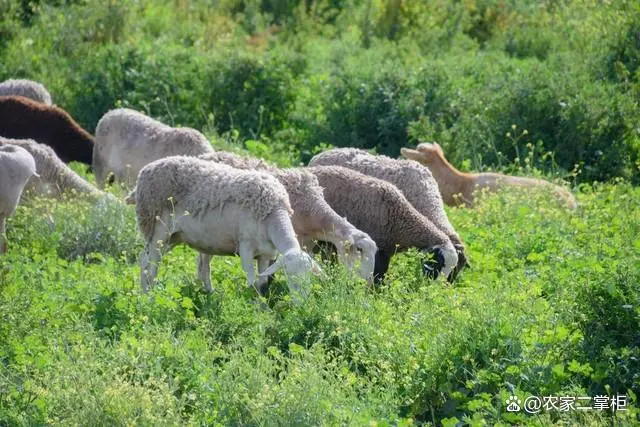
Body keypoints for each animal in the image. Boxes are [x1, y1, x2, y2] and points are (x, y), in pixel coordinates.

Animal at [127, 156, 322, 300]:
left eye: (309, 278)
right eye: (291, 277)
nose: (303, 304)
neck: (273, 214)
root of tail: (144, 172)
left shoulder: (265, 254)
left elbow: (263, 283)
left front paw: (263, 308)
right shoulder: (246, 247)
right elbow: (253, 283)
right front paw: (257, 308)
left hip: (174, 236)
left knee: (146, 260)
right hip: (156, 227)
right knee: (150, 264)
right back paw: (148, 298)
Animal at [201, 150, 380, 284]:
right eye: (360, 250)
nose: (368, 281)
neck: (312, 211)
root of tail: (205, 156)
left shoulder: (307, 243)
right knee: (204, 258)